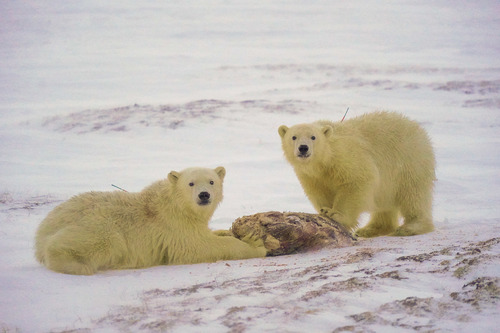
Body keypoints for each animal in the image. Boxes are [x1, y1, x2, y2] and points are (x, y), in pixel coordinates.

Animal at [35, 166, 268, 274]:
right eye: (191, 183)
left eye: (211, 181)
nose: (204, 195)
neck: (176, 204)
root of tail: (41, 232)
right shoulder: (174, 226)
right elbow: (199, 246)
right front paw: (255, 244)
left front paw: (227, 231)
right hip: (98, 225)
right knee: (103, 241)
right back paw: (76, 265)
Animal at [280, 111, 436, 236]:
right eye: (293, 137)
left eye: (313, 137)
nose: (303, 148)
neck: (325, 161)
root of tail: (418, 128)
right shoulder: (311, 176)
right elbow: (319, 192)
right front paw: (324, 211)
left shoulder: (346, 157)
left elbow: (356, 181)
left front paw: (335, 214)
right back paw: (370, 229)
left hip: (410, 160)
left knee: (413, 195)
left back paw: (410, 227)